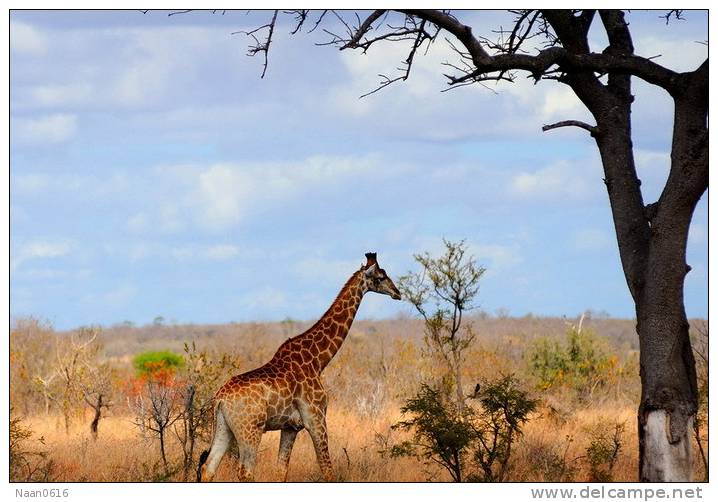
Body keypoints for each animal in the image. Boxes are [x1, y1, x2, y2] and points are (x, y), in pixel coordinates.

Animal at [197, 253, 402, 480]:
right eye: (381, 277)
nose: (398, 293)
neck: (316, 360)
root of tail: (220, 399)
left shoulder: (291, 427)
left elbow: (281, 472)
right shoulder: (316, 418)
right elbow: (327, 470)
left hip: (224, 428)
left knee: (208, 468)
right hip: (250, 429)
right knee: (245, 471)